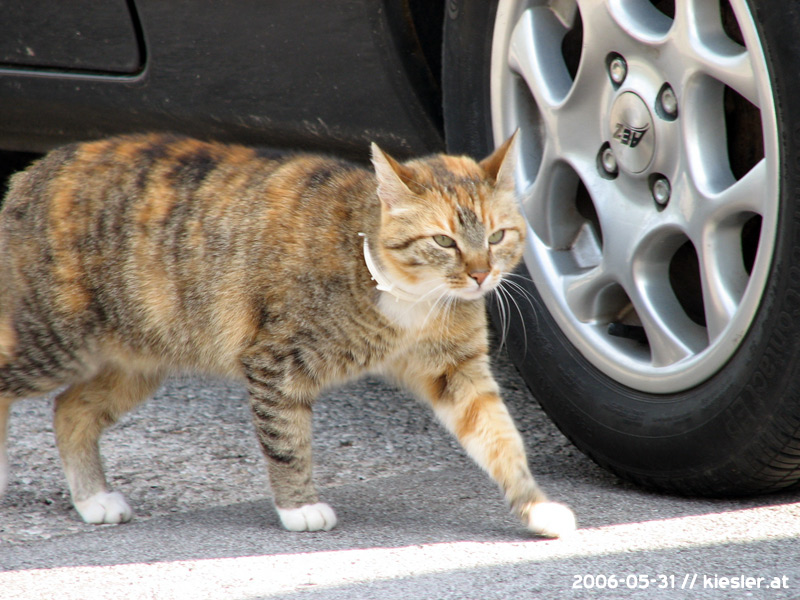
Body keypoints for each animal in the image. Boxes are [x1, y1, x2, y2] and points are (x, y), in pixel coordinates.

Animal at [0, 134, 576, 536]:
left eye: (497, 236)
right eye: (444, 241)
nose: (482, 275)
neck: (409, 295)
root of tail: (31, 172)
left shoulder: (457, 372)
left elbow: (501, 439)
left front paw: (536, 507)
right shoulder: (275, 363)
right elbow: (287, 442)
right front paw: (300, 506)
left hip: (137, 361)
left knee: (70, 410)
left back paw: (92, 497)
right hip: (53, 341)